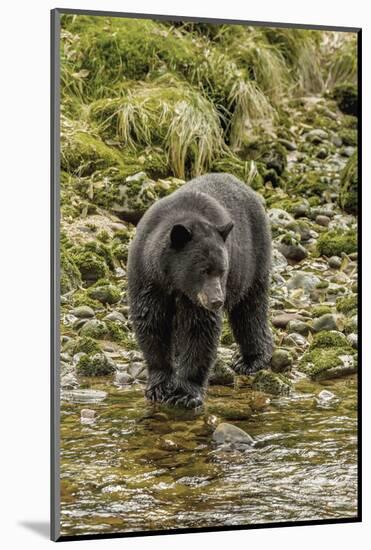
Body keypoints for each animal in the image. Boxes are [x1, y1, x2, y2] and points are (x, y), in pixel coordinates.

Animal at [128, 172, 274, 410]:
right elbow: (151, 323)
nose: (217, 301)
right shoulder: (148, 279)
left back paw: (251, 359)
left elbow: (199, 330)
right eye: (203, 270)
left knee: (250, 310)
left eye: (222, 270)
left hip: (253, 260)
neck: (174, 281)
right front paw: (159, 387)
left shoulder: (196, 298)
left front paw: (185, 394)